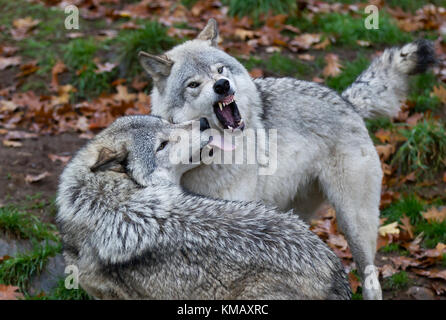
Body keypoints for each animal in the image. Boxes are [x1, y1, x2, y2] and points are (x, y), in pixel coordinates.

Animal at [139, 19, 436, 300]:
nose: (222, 86)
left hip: (353, 222)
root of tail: (345, 100)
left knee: (371, 277)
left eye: (220, 70)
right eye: (193, 84)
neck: (202, 162)